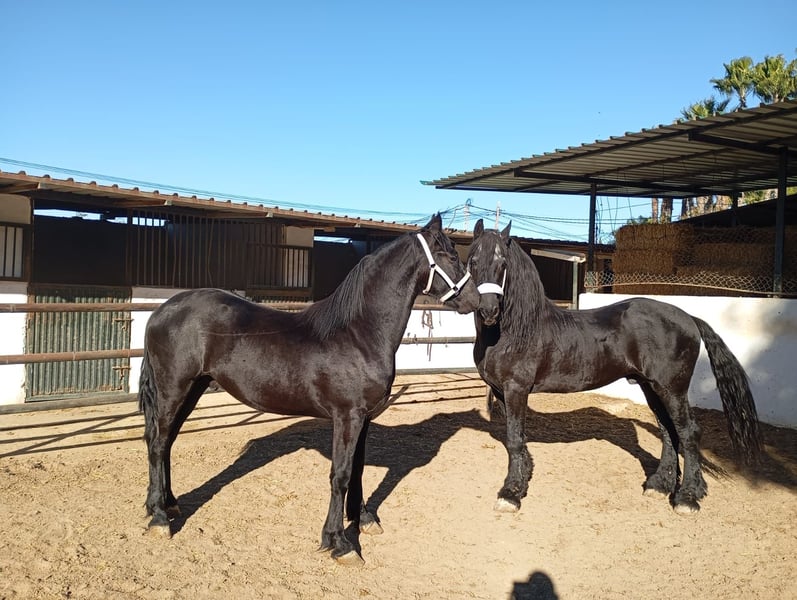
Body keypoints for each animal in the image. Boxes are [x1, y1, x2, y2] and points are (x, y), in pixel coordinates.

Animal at [138, 214, 480, 564]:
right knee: (158, 442)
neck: (359, 333)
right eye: (450, 255)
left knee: (166, 441)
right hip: (173, 389)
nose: (479, 300)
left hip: (192, 389)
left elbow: (357, 470)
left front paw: (363, 519)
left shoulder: (364, 419)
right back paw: (160, 519)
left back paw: (167, 504)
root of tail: (161, 310)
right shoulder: (347, 417)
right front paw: (339, 542)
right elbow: (340, 475)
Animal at [466, 218, 762, 515]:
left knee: (688, 432)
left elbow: (515, 439)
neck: (513, 331)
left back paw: (687, 497)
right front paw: (523, 477)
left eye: (502, 263)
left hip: (672, 389)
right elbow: (516, 438)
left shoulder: (516, 389)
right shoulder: (502, 392)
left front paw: (511, 493)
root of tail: (689, 317)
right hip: (650, 387)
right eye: (473, 261)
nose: (488, 310)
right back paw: (660, 485)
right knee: (668, 431)